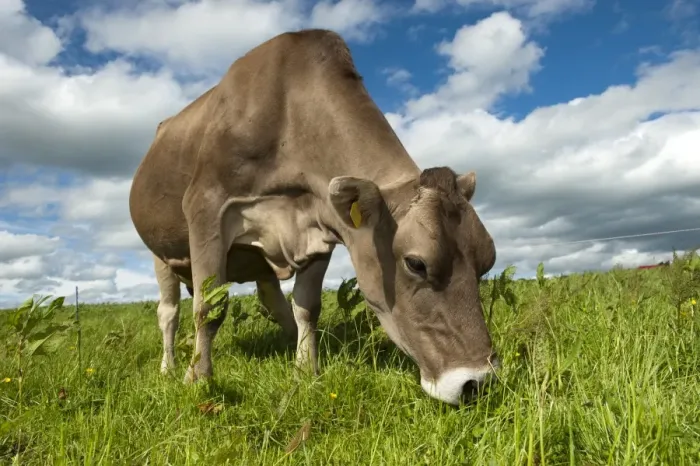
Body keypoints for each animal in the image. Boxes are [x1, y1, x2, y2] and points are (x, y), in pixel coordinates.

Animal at [128, 28, 500, 405]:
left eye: (488, 261)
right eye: (416, 263)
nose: (477, 382)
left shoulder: (318, 229)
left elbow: (307, 305)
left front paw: (306, 371)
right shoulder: (207, 208)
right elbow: (209, 307)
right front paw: (199, 381)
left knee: (272, 299)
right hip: (161, 253)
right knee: (168, 312)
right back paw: (169, 367)